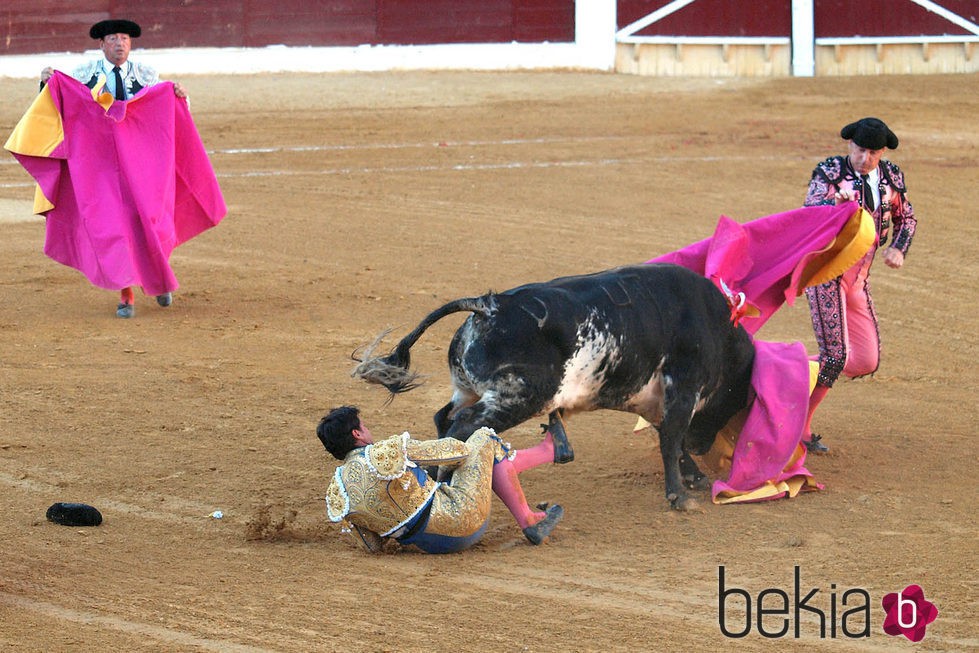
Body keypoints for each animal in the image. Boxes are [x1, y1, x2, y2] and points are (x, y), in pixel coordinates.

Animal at [354, 262, 756, 506]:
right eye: (737, 397)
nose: (705, 446)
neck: (720, 331)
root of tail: (489, 305)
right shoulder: (684, 388)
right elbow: (672, 439)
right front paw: (679, 497)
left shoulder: (657, 398)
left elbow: (667, 436)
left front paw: (694, 478)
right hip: (517, 397)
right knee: (464, 424)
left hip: (471, 389)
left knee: (445, 418)